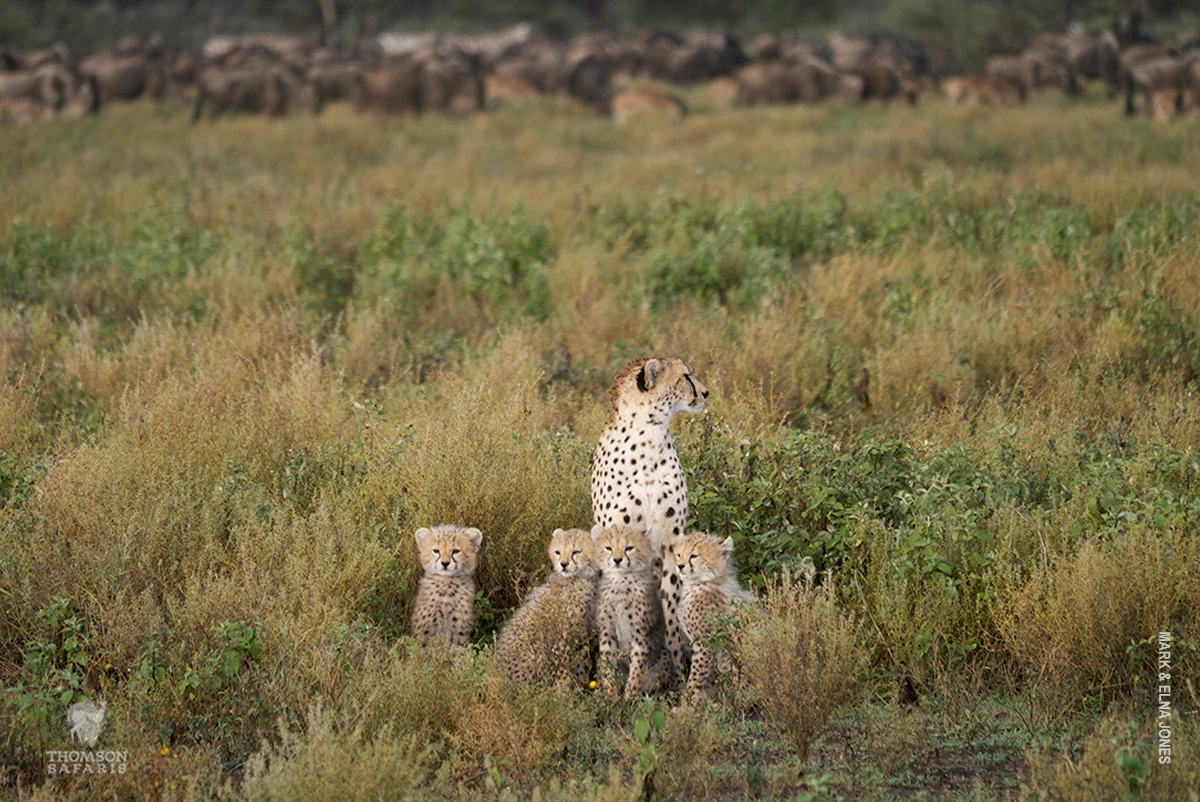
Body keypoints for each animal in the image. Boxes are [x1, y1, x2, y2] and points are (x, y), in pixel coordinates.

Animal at [495, 528, 600, 688]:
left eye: (576, 551)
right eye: (557, 552)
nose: (563, 564)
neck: (575, 580)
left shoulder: (580, 634)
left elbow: (578, 664)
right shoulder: (562, 637)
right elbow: (565, 668)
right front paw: (565, 689)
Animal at [593, 524, 676, 699]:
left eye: (629, 548)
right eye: (609, 548)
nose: (617, 560)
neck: (621, 581)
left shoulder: (640, 634)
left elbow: (637, 667)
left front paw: (629, 697)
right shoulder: (607, 632)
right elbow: (608, 664)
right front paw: (611, 695)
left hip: (663, 656)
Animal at [669, 532, 755, 700]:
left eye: (694, 556)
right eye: (679, 554)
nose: (680, 566)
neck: (702, 581)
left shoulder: (705, 642)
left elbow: (696, 675)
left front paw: (687, 700)